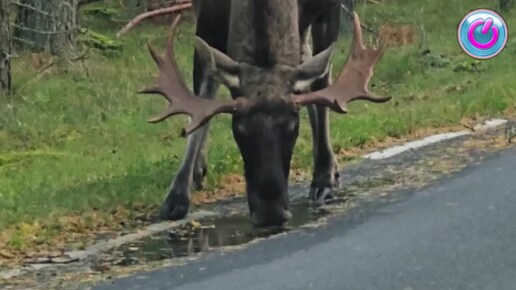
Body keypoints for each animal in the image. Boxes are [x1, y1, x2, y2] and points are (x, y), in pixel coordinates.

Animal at [141, 0, 392, 225]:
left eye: (293, 128)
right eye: (239, 130)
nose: (271, 212)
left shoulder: (328, 11)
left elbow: (321, 87)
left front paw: (324, 180)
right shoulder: (208, 19)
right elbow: (201, 100)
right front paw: (176, 197)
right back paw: (198, 169)